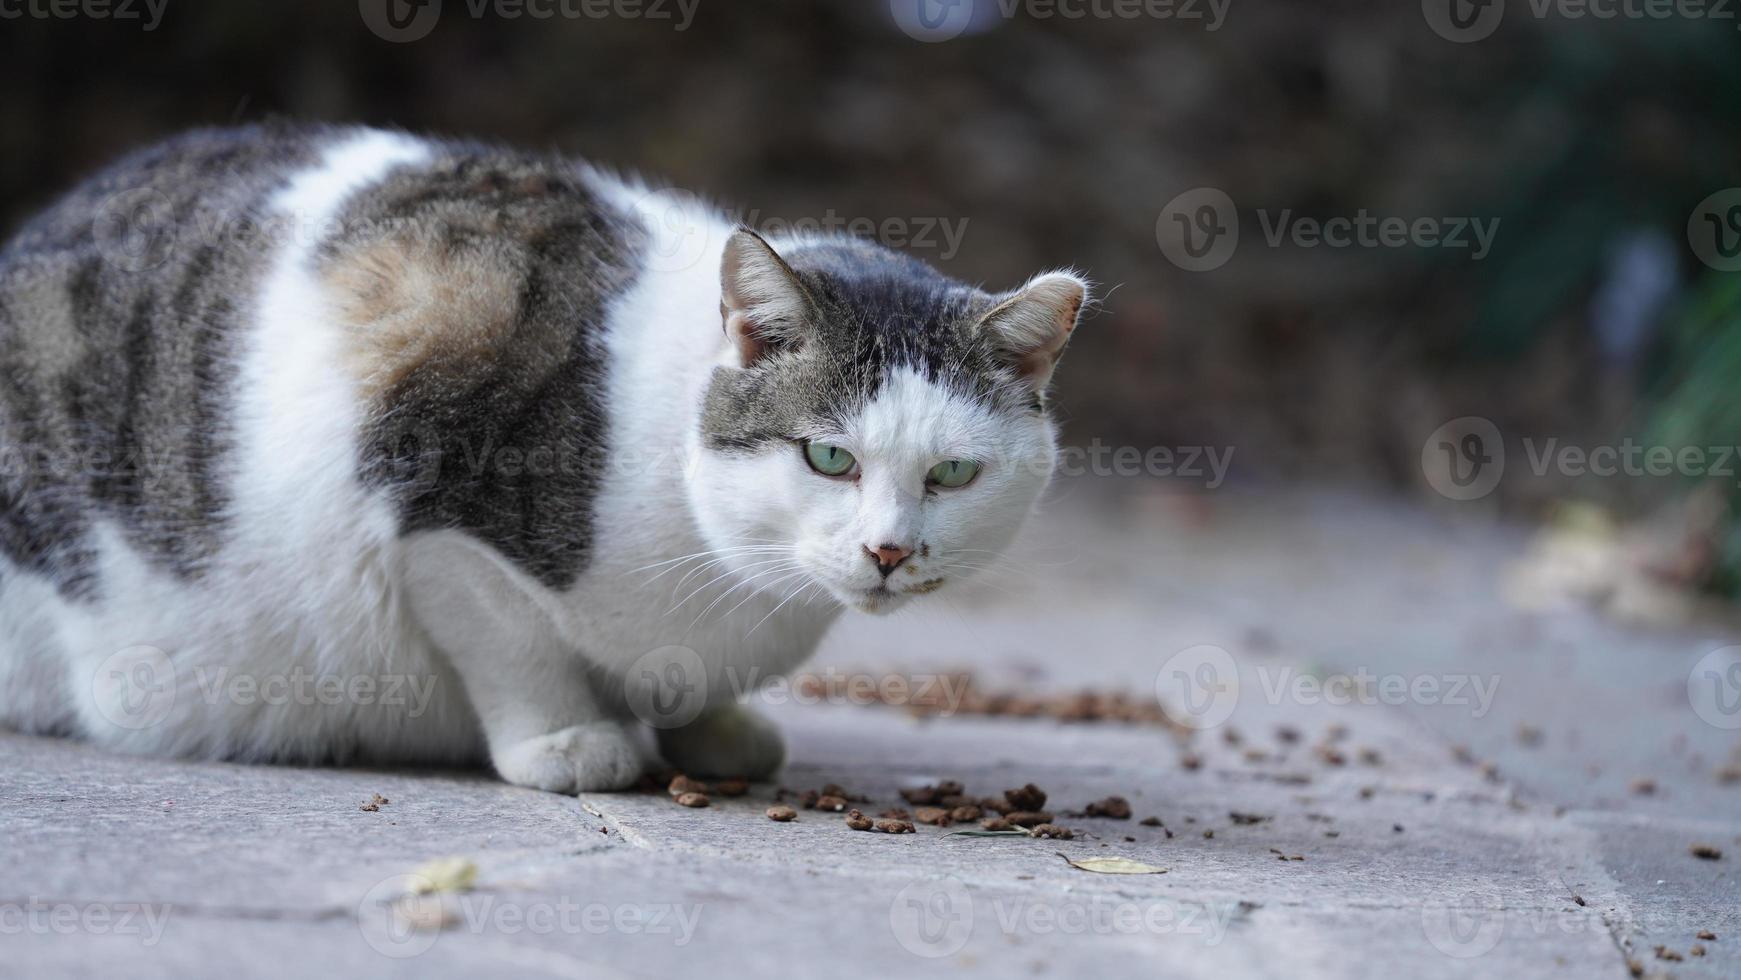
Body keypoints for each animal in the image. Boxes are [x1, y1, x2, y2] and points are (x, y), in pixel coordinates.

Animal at [0, 124, 1086, 797]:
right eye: (828, 455)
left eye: (953, 474)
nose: (890, 552)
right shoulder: (430, 500)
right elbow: (507, 639)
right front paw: (566, 741)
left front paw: (715, 728)